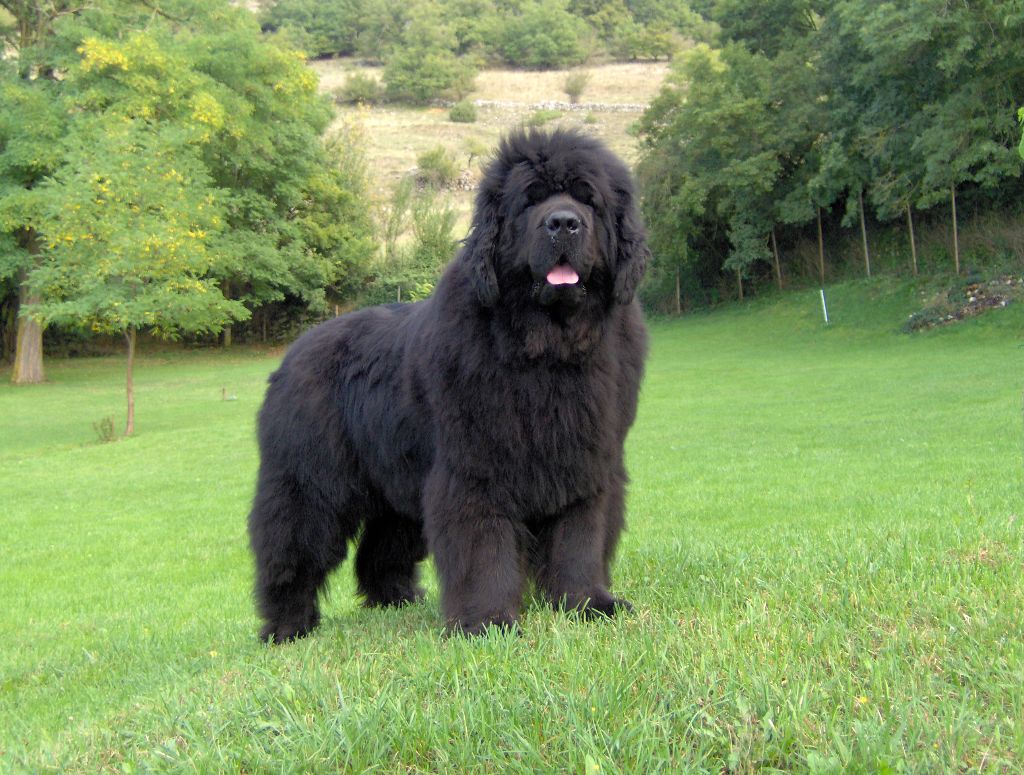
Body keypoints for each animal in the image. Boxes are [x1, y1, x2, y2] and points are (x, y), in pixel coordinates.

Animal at [249, 126, 647, 638]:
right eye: (530, 200)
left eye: (588, 199)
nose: (563, 223)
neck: (547, 349)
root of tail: (294, 351)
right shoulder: (474, 466)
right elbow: (482, 546)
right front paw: (488, 621)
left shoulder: (587, 461)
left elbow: (581, 537)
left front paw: (588, 604)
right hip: (309, 482)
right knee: (291, 546)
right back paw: (287, 626)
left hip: (395, 481)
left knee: (382, 545)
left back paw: (396, 599)